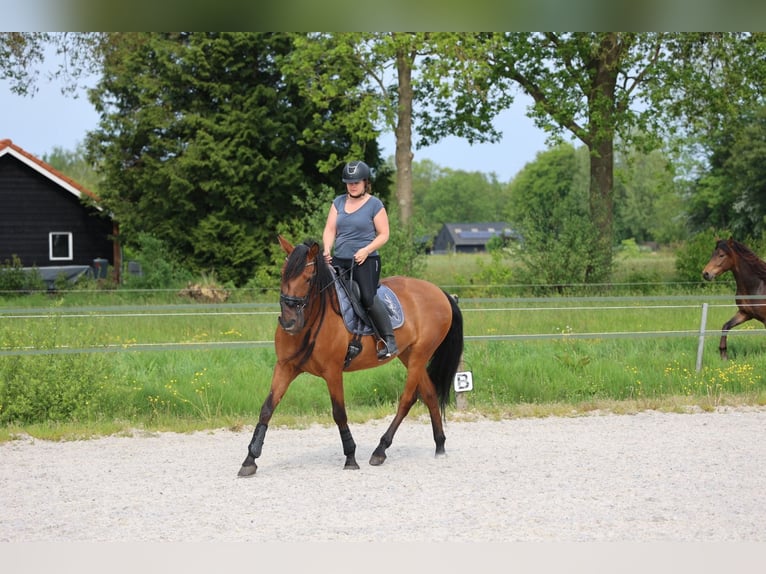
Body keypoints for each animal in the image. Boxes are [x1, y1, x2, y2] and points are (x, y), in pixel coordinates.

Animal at [238, 236, 468, 480]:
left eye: (308, 278)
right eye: (283, 275)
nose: (289, 322)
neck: (311, 320)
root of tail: (440, 292)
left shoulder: (332, 372)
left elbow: (339, 413)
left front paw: (350, 457)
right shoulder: (285, 367)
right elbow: (267, 409)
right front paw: (250, 459)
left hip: (419, 356)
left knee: (407, 400)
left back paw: (380, 450)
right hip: (410, 355)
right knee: (430, 394)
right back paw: (440, 446)